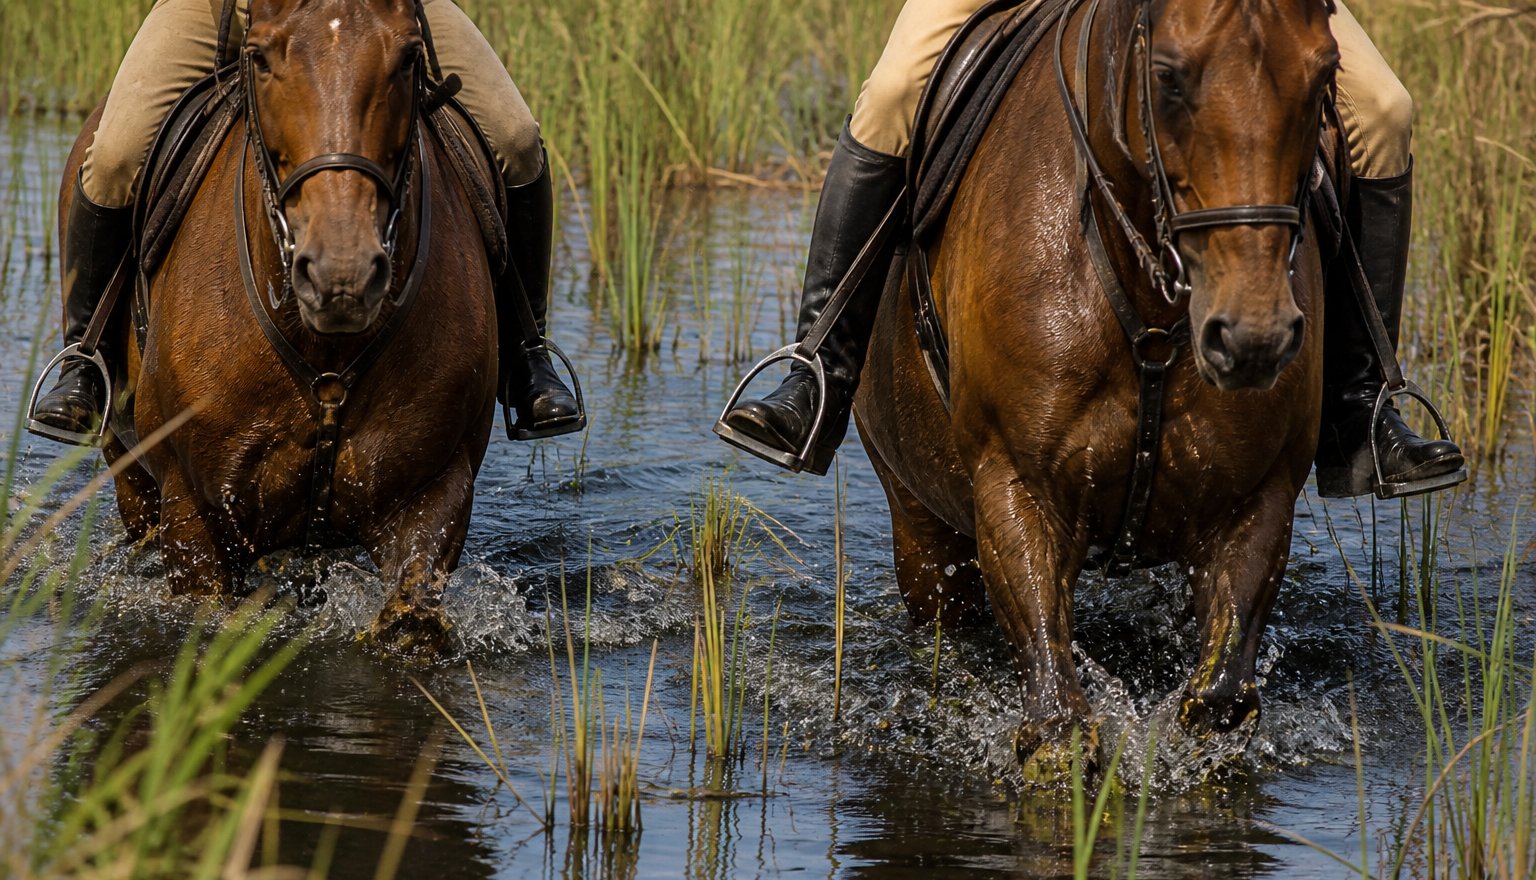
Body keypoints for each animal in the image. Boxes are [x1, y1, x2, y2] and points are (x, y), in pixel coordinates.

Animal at [855, 0, 1340, 778]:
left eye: (1324, 76)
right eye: (1168, 76)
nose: (1253, 337)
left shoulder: (1257, 501)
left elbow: (1216, 702)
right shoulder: (1017, 487)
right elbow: (1057, 729)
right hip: (920, 530)